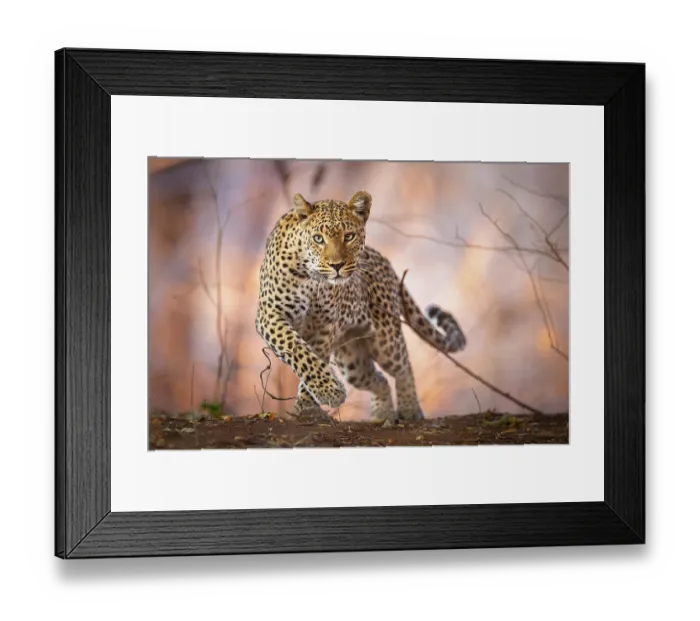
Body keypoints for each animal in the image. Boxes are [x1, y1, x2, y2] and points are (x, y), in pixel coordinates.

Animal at [255, 190, 467, 422]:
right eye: (318, 238)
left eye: (349, 236)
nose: (337, 265)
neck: (311, 277)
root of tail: (386, 262)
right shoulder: (270, 315)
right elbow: (298, 350)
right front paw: (328, 392)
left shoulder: (324, 326)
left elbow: (315, 355)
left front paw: (309, 403)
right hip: (352, 361)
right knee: (379, 379)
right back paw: (382, 413)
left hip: (385, 341)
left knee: (402, 366)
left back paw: (409, 408)